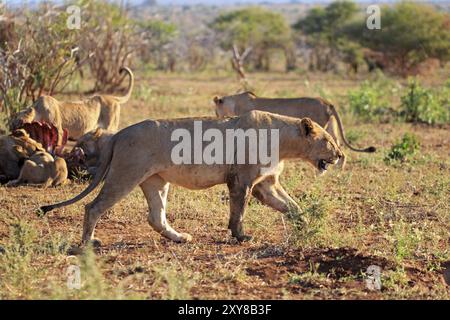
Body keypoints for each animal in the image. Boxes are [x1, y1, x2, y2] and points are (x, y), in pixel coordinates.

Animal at [41, 111, 342, 246]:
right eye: (328, 141)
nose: (340, 155)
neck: (284, 141)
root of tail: (119, 134)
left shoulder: (266, 183)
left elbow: (291, 205)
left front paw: (305, 223)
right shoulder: (242, 180)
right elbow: (238, 212)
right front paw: (240, 236)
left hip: (156, 181)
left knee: (156, 216)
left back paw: (179, 238)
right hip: (125, 175)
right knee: (93, 207)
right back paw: (88, 243)